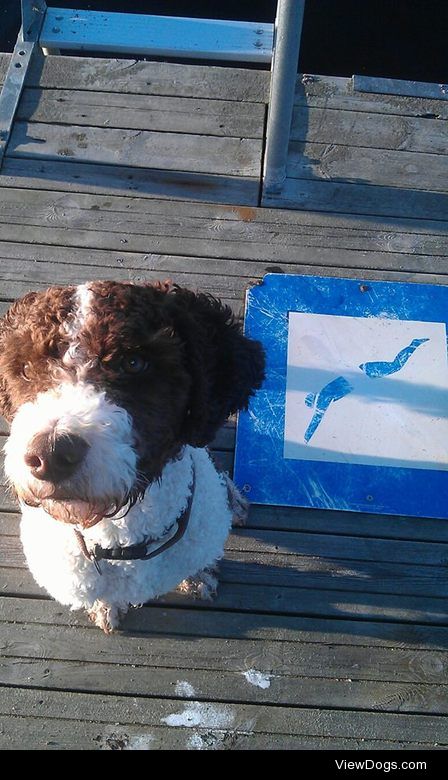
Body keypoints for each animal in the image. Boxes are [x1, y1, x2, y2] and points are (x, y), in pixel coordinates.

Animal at [0, 284, 264, 632]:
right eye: (26, 370)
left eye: (135, 362)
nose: (51, 455)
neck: (123, 544)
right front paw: (106, 607)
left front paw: (200, 577)